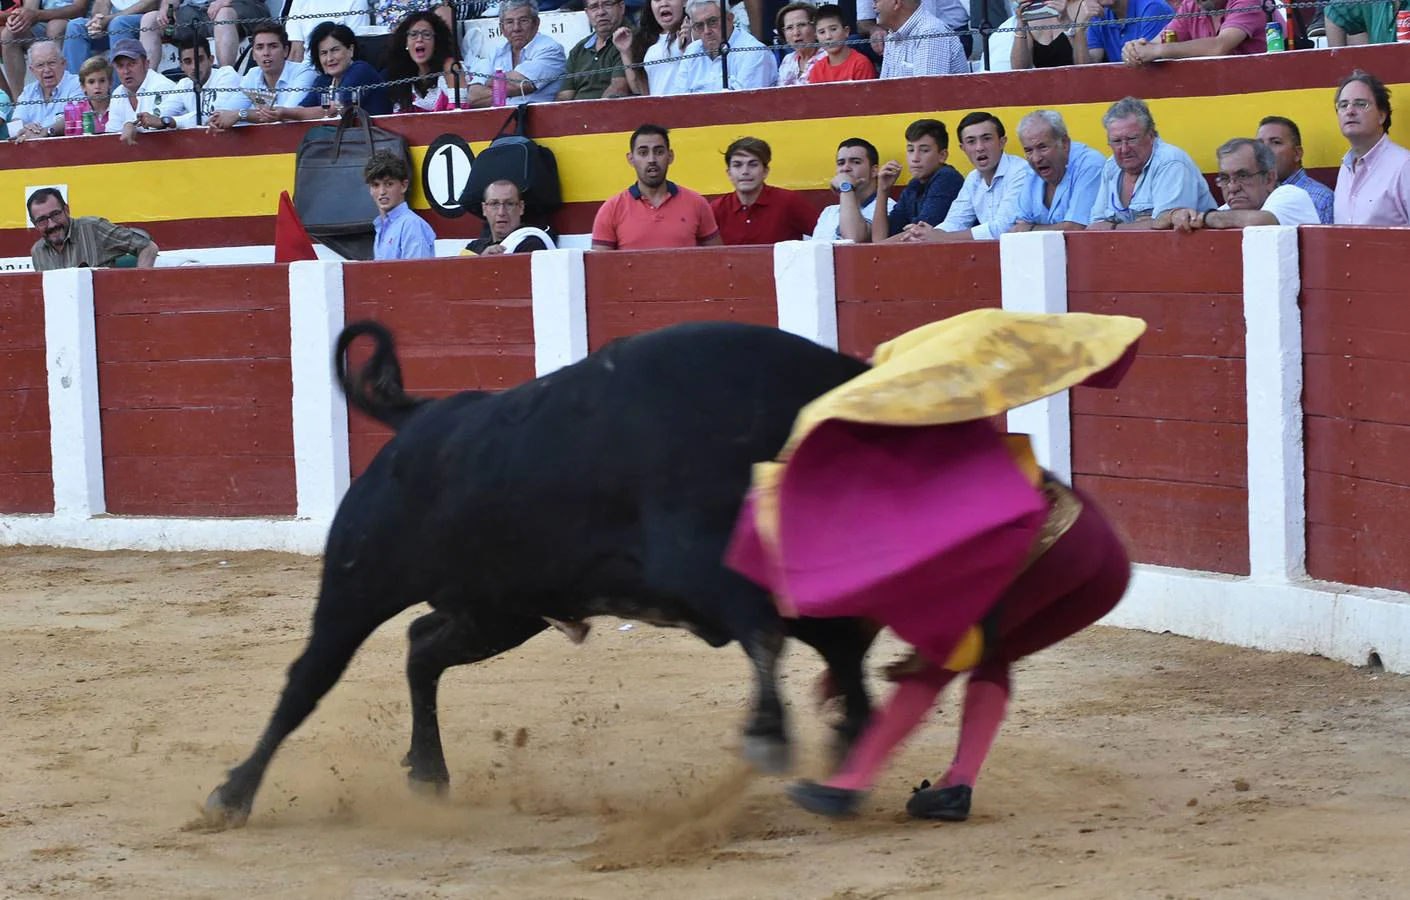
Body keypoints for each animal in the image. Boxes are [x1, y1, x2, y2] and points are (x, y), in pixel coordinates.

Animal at [201, 321, 879, 829]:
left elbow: (841, 653)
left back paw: (428, 773)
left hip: (502, 609)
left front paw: (848, 748)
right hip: (361, 585)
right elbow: (769, 634)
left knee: (423, 647)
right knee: (308, 679)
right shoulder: (702, 564)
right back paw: (231, 797)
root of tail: (418, 420)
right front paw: (773, 735)